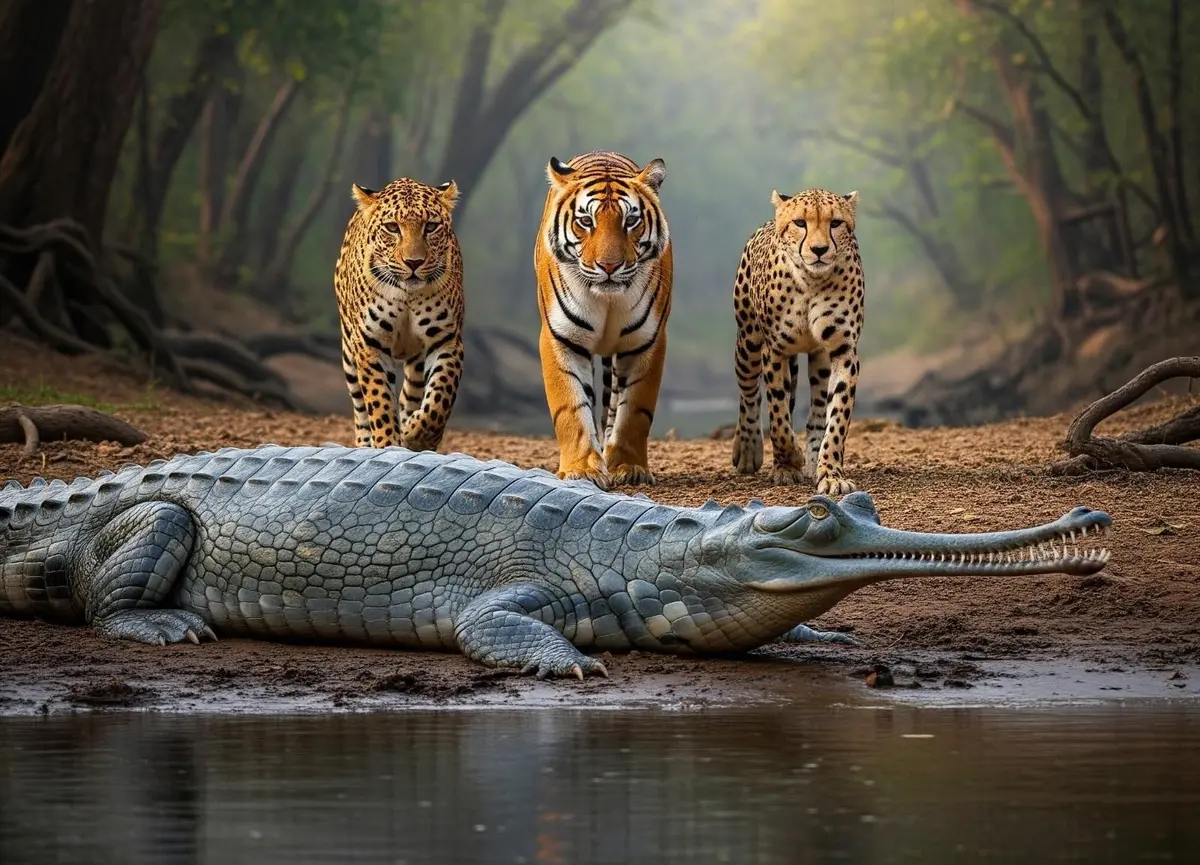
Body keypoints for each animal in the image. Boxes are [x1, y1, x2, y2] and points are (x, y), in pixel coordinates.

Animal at [533, 150, 673, 490]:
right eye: (586, 221)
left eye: (631, 221)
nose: (609, 266)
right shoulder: (561, 338)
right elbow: (571, 407)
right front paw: (582, 469)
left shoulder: (647, 341)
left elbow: (634, 410)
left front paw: (628, 466)